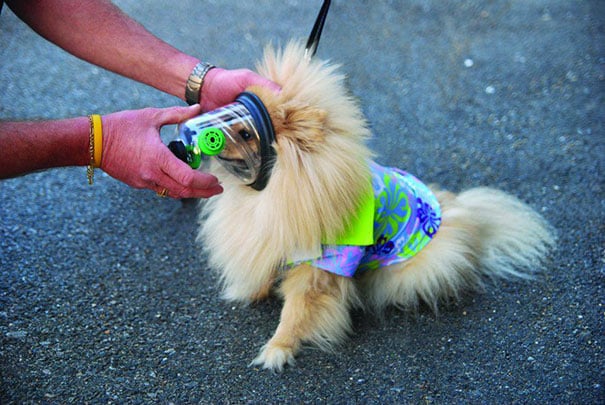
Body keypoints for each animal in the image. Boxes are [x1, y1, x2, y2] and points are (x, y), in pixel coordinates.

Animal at [196, 42, 556, 370]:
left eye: (246, 133)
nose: (205, 135)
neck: (272, 192)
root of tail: (466, 217)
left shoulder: (321, 268)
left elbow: (295, 311)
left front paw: (278, 349)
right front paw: (252, 292)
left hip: (414, 268)